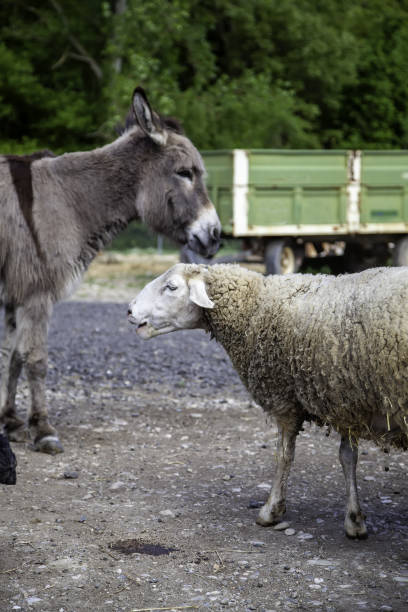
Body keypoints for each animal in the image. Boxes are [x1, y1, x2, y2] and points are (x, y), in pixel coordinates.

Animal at [127, 262, 408, 540]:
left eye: (171, 287)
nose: (129, 310)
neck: (254, 308)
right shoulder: (346, 401)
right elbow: (348, 457)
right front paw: (354, 521)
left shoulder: (284, 399)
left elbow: (283, 456)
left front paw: (271, 510)